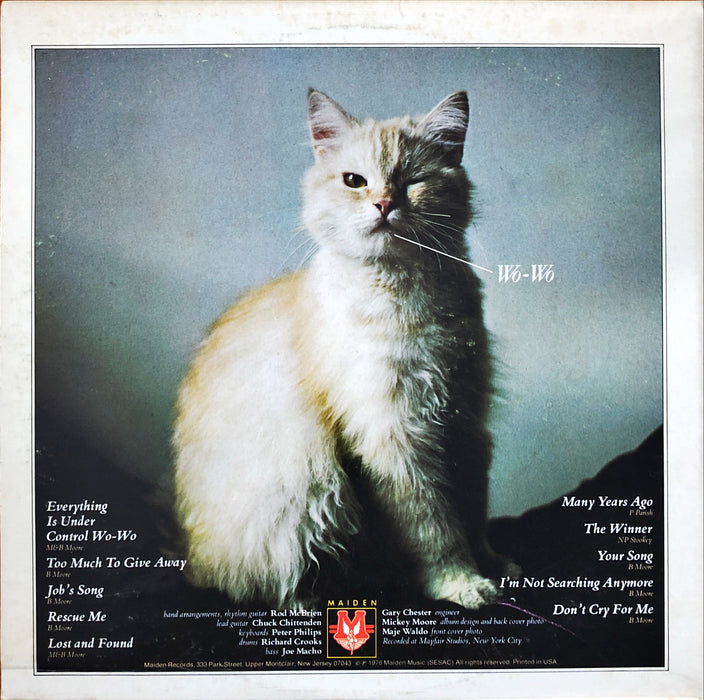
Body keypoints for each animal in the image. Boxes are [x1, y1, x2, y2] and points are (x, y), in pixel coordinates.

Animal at [173, 89, 517, 610]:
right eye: (355, 181)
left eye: (413, 182)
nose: (384, 204)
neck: (406, 295)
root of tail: (192, 562)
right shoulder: (395, 436)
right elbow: (435, 528)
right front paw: (461, 583)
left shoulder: (463, 420)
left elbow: (472, 512)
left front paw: (493, 568)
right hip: (306, 495)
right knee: (275, 584)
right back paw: (318, 599)